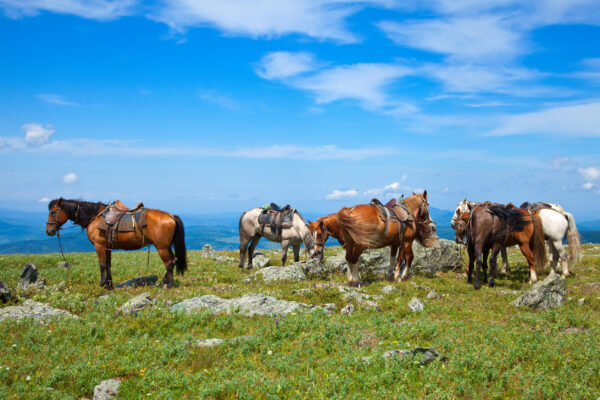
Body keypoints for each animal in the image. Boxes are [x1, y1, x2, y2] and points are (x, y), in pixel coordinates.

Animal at [45, 199, 186, 288]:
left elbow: (102, 265)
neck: (94, 217)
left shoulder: (99, 246)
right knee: (174, 260)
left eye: (53, 212)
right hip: (166, 246)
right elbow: (108, 265)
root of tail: (171, 216)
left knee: (169, 263)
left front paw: (102, 284)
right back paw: (166, 282)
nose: (49, 231)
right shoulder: (107, 247)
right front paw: (109, 284)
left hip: (161, 247)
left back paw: (167, 285)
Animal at [452, 198, 580, 276]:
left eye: (458, 211)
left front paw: (501, 270)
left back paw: (563, 274)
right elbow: (503, 254)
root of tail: (562, 213)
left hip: (556, 240)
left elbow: (501, 255)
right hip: (552, 240)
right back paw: (552, 272)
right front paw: (504, 269)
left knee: (562, 254)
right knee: (555, 255)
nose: (452, 224)